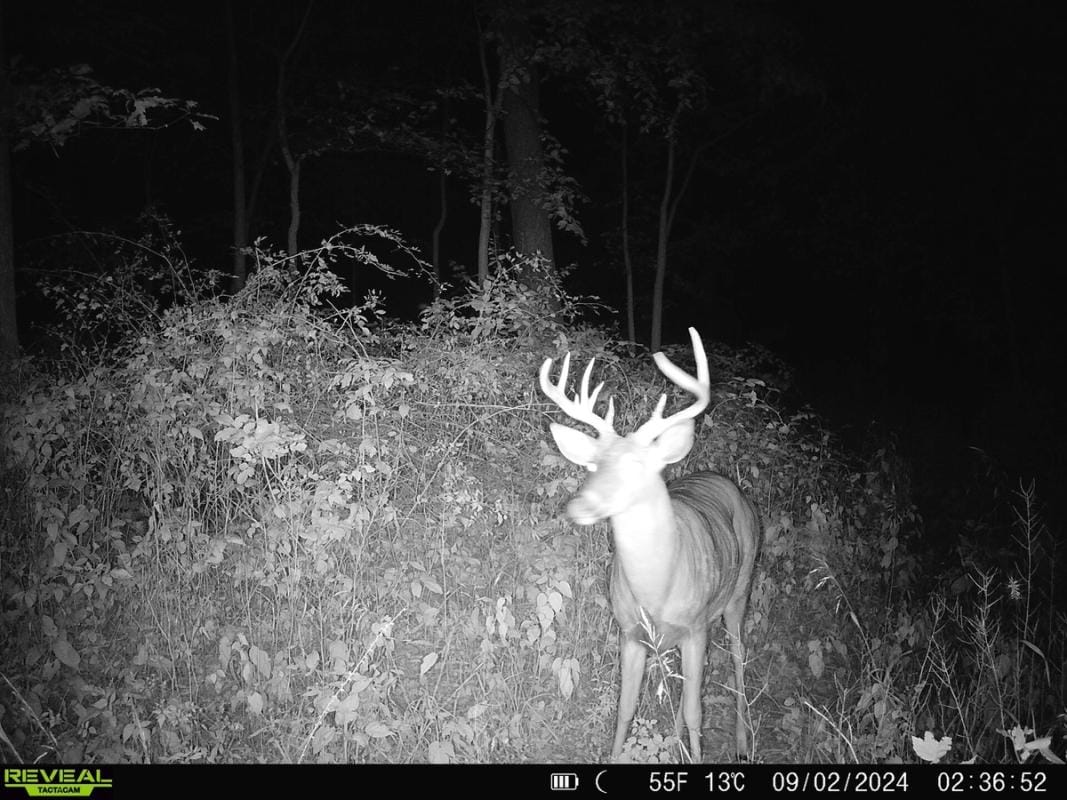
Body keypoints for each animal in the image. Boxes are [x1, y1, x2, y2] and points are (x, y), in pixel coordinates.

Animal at [539, 328, 760, 762]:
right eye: (593, 465)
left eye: (638, 466)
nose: (579, 505)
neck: (656, 591)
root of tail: (723, 480)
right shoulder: (630, 633)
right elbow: (627, 707)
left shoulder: (694, 628)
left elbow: (694, 712)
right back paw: (675, 742)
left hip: (739, 590)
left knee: (739, 658)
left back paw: (742, 744)